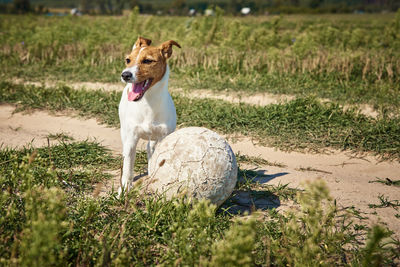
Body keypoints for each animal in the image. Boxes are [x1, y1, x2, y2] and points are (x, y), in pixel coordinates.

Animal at [118, 36, 180, 195]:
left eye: (147, 61)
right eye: (128, 60)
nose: (125, 75)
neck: (148, 103)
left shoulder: (164, 136)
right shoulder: (131, 139)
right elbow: (128, 168)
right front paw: (124, 190)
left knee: (150, 148)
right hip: (125, 132)